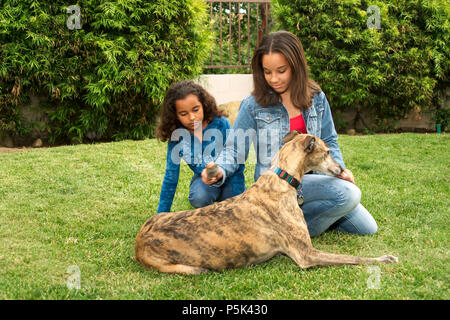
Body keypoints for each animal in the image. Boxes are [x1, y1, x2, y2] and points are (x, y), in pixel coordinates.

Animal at [134, 131, 398, 274]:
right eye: (327, 152)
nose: (342, 170)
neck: (282, 179)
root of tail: (138, 244)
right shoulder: (307, 254)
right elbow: (355, 258)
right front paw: (385, 259)